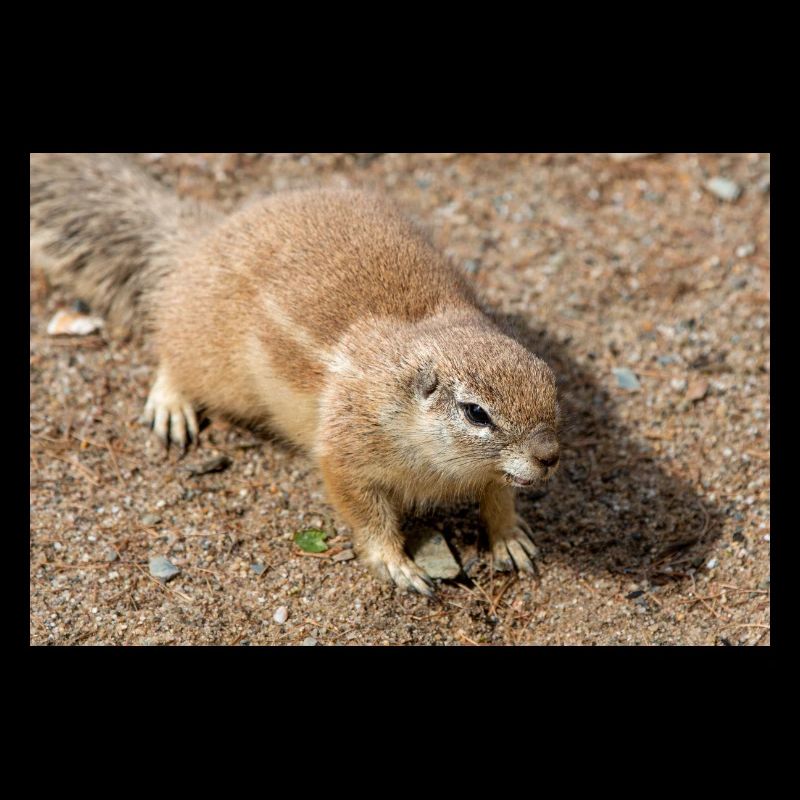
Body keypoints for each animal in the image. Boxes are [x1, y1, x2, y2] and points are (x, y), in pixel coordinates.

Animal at [30, 153, 561, 596]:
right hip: (216, 366)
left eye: (551, 384)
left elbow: (499, 495)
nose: (550, 456)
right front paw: (397, 566)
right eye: (476, 413)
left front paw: (510, 538)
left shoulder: (493, 472)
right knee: (170, 350)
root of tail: (199, 240)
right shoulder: (345, 458)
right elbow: (368, 517)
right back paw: (171, 404)